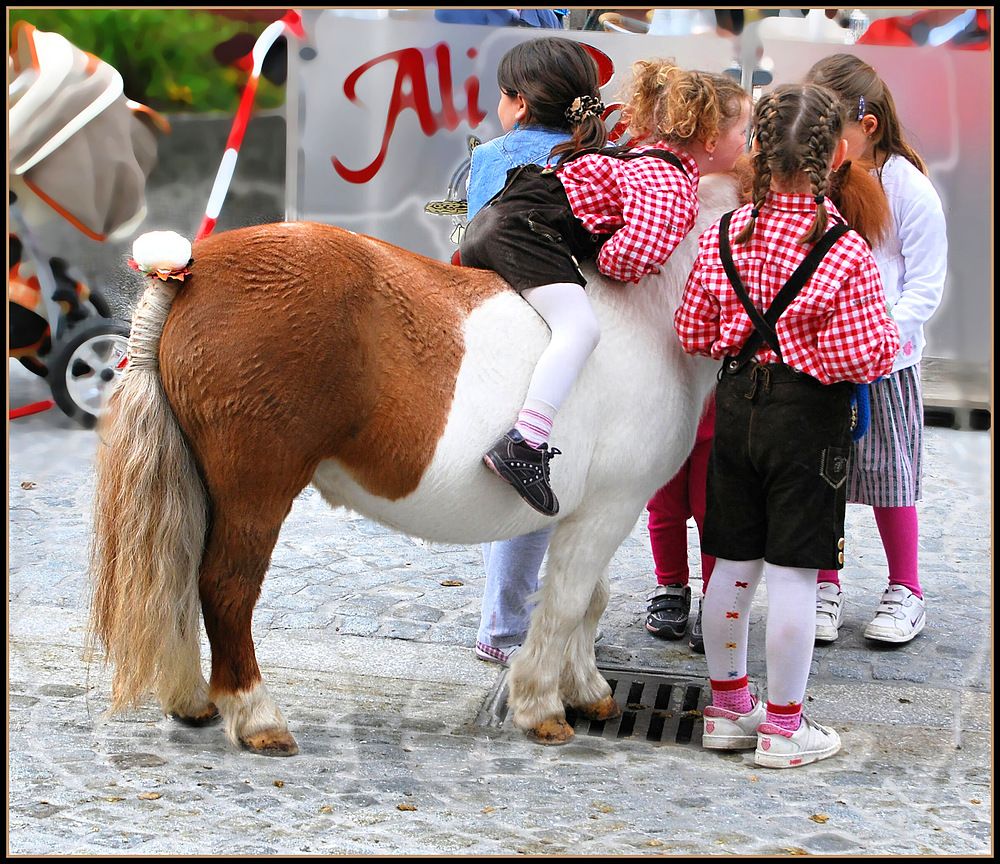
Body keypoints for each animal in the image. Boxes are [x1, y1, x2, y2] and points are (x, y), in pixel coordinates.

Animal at [84, 160, 884, 756]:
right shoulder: (610, 508)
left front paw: (587, 691)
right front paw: (542, 707)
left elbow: (588, 599)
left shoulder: (596, 512)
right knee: (223, 588)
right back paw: (256, 717)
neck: (647, 309)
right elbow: (567, 601)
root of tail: (192, 272)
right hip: (257, 490)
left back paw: (192, 700)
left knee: (178, 579)